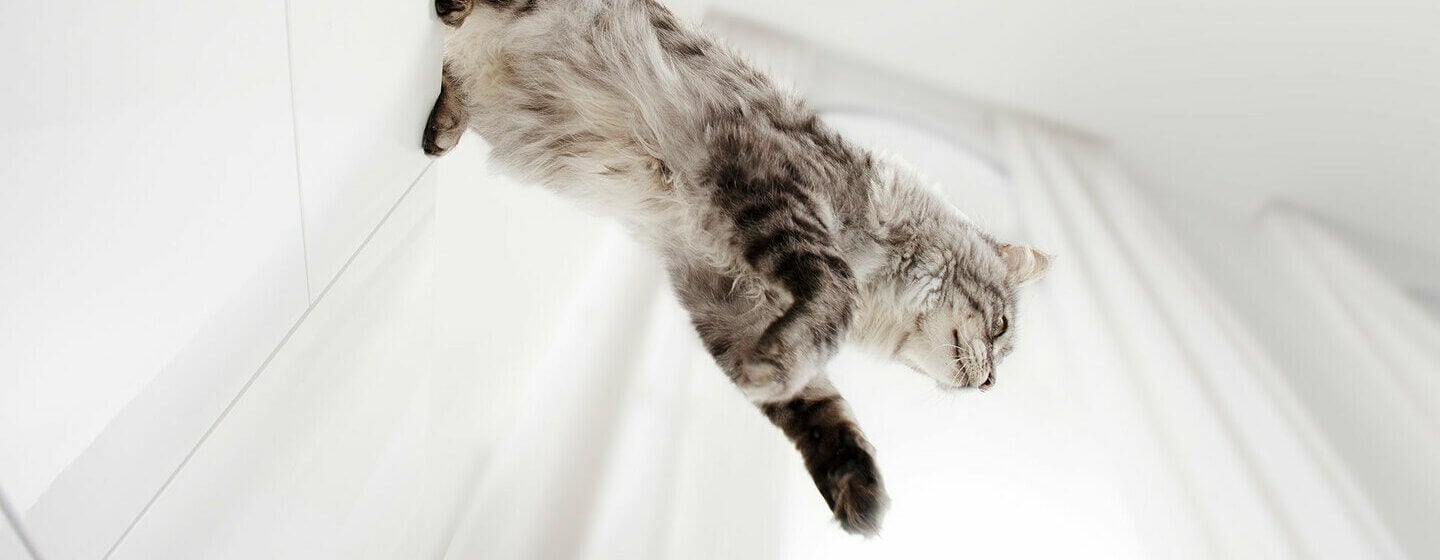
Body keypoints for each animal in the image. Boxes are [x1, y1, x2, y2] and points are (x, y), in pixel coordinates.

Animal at [423, 0, 1048, 535]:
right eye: (1001, 329)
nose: (990, 384)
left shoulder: (728, 301)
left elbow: (819, 410)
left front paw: (861, 497)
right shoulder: (770, 187)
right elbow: (830, 305)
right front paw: (775, 369)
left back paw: (444, 122)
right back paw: (451, 26)